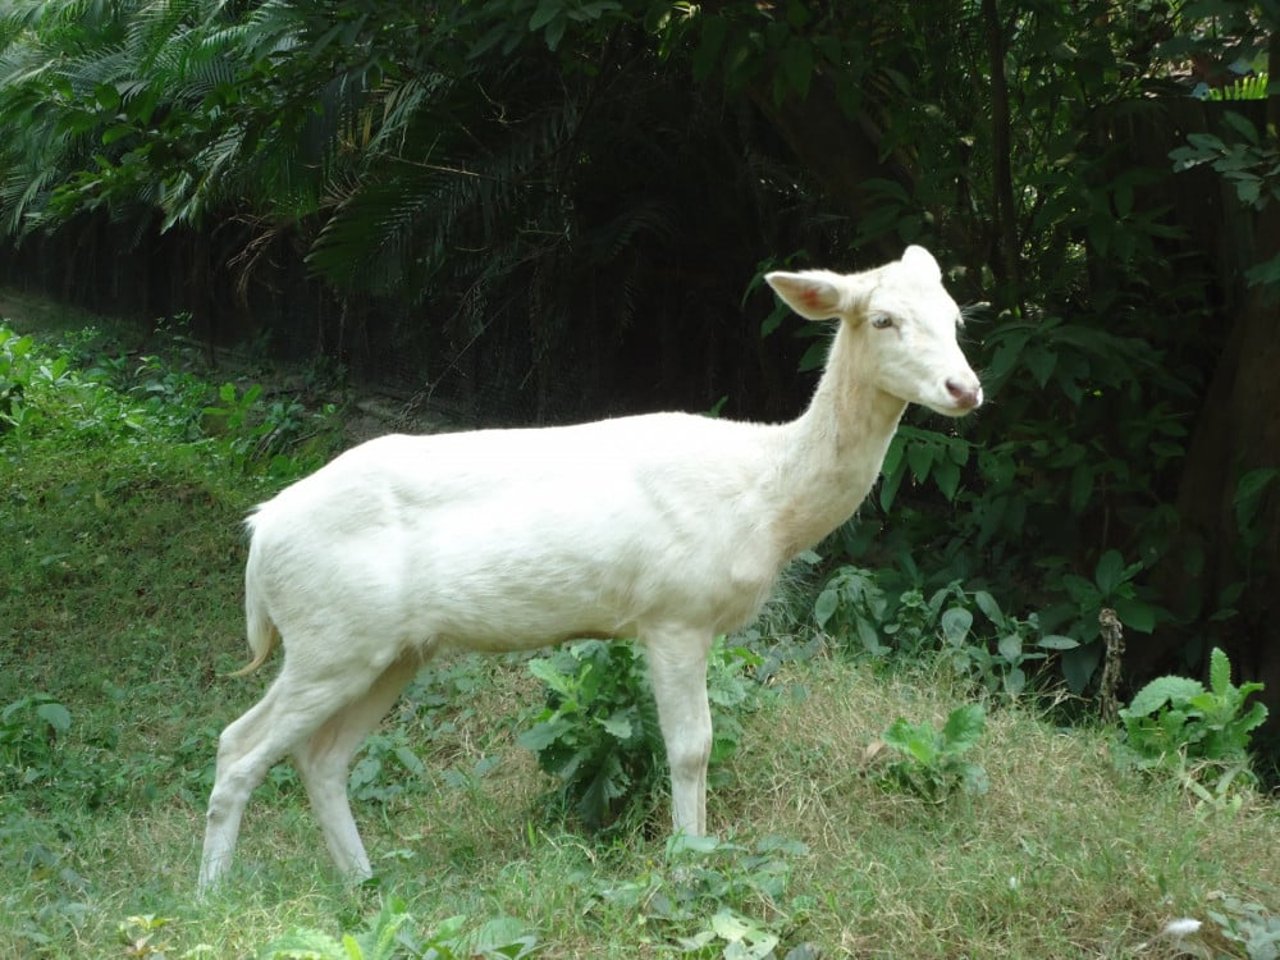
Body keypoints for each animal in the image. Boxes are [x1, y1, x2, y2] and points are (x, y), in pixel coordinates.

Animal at [197, 248, 977, 896]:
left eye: (956, 317)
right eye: (882, 319)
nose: (964, 388)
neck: (764, 496)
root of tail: (261, 534)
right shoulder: (675, 613)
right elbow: (690, 749)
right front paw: (690, 865)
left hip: (387, 650)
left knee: (321, 758)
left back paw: (364, 886)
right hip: (330, 634)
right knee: (238, 744)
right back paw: (212, 898)